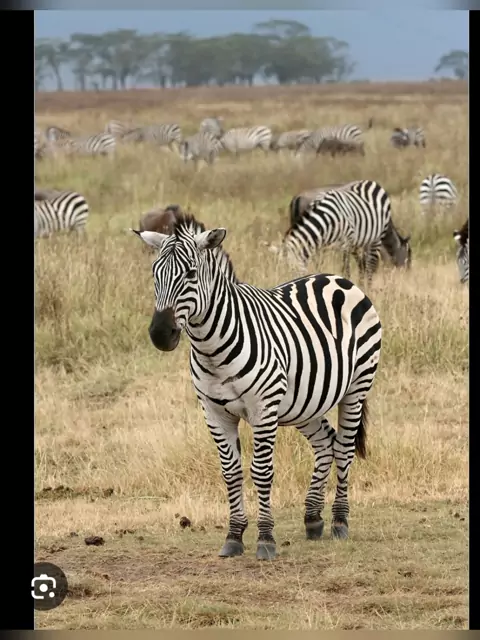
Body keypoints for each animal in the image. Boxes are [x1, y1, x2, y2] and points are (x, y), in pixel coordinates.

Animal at [132, 212, 382, 560]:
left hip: (356, 387)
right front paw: (234, 535)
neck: (212, 349)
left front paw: (265, 539)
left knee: (343, 448)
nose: (160, 334)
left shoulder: (263, 408)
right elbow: (231, 472)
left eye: (191, 273)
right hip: (304, 402)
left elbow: (262, 471)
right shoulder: (214, 413)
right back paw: (313, 518)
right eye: (156, 274)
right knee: (325, 443)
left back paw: (339, 521)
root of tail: (338, 278)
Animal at [279, 180, 411, 285]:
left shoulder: (354, 243)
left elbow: (360, 264)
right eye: (409, 255)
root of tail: (297, 197)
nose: (407, 273)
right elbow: (363, 264)